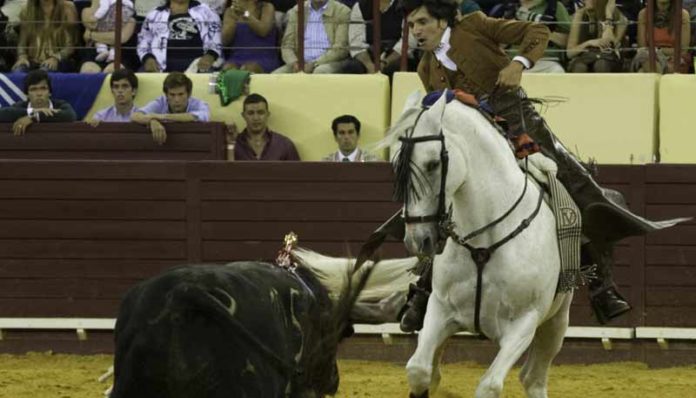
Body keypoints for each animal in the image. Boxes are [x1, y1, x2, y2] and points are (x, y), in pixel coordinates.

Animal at [384, 90, 572, 398]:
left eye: (432, 164)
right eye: (397, 166)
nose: (416, 240)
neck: (485, 240)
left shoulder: (524, 323)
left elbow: (489, 385)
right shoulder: (440, 308)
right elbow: (418, 371)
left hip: (556, 323)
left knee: (533, 379)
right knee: (433, 370)